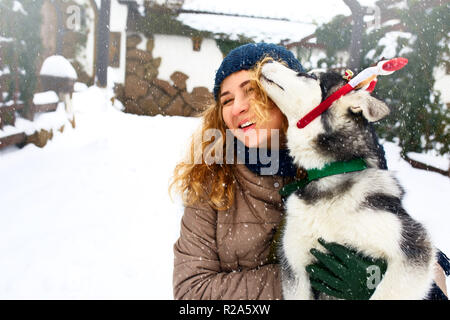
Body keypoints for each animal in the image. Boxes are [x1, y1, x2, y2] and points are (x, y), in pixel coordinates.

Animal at [260, 60, 436, 300]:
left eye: (309, 76)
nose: (267, 60)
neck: (329, 174)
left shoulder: (414, 247)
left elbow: (383, 293)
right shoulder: (295, 269)